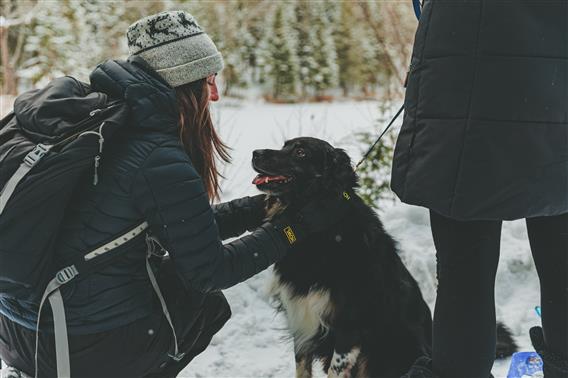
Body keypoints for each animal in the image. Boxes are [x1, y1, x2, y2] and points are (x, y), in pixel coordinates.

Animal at [251, 137, 516, 376]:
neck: (321, 230)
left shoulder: (348, 327)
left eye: (301, 152)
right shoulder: (300, 319)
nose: (255, 152)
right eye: (285, 145)